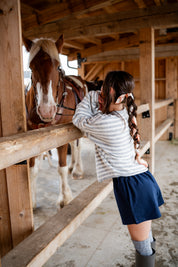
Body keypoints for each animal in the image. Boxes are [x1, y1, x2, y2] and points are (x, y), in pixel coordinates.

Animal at [23, 34, 87, 209]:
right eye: (30, 67)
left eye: (58, 66)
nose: (46, 110)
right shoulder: (32, 139)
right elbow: (33, 169)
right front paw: (32, 200)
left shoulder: (61, 136)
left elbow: (61, 168)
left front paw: (64, 198)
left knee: (77, 147)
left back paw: (77, 170)